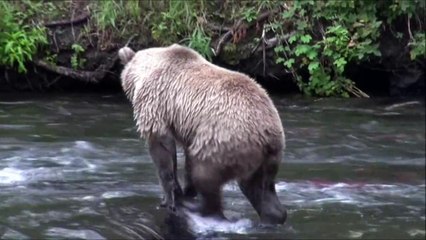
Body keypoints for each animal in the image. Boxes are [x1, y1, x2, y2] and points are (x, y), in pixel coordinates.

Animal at [118, 43, 288, 225]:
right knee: (259, 188)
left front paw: (170, 197)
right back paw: (273, 216)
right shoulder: (189, 128)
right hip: (262, 159)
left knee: (205, 176)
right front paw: (183, 192)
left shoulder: (156, 103)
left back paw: (200, 210)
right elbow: (185, 159)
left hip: (224, 142)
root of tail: (269, 135)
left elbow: (162, 147)